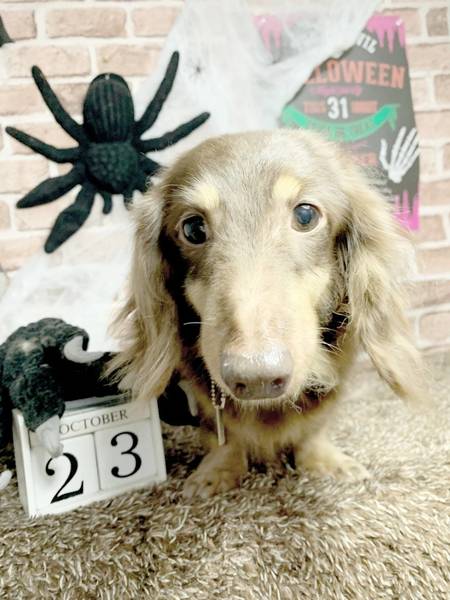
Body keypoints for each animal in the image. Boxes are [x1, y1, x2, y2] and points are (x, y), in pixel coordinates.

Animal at [111, 129, 425, 499]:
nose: (256, 377)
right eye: (192, 229)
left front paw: (321, 458)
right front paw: (219, 468)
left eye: (306, 215)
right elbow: (219, 430)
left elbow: (316, 425)